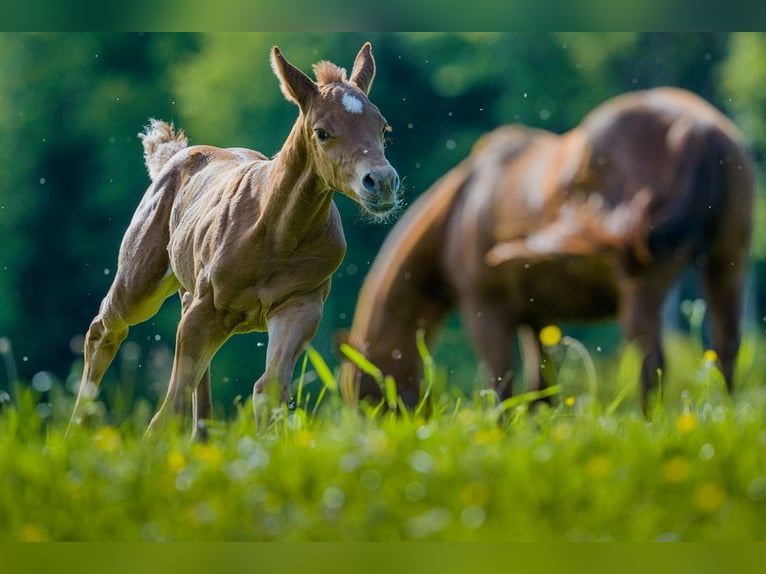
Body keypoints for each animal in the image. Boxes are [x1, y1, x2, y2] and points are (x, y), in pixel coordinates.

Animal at [70, 44, 402, 440]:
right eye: (322, 132)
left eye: (382, 126)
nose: (382, 182)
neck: (277, 235)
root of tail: (173, 155)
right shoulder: (208, 305)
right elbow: (168, 408)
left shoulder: (301, 304)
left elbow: (268, 388)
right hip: (141, 282)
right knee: (105, 329)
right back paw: (74, 431)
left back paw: (202, 436)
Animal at [344, 86, 756, 410]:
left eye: (364, 393)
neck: (462, 207)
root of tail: (697, 127)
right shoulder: (539, 318)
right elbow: (542, 389)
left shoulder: (486, 311)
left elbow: (503, 385)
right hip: (728, 266)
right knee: (726, 348)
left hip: (645, 285)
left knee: (651, 362)